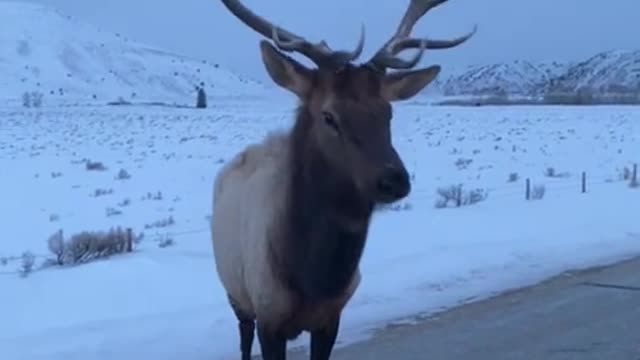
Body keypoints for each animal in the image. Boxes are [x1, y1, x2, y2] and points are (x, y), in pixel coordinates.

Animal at [211, 0, 476, 358]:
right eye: (328, 116)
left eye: (388, 112)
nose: (393, 179)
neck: (315, 279)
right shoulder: (268, 315)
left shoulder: (331, 316)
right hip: (236, 295)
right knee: (243, 338)